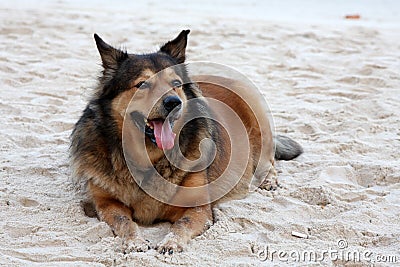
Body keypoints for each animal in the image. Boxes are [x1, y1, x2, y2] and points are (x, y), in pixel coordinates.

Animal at [69, 29, 304, 255]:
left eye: (175, 84)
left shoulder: (197, 207)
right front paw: (135, 242)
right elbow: (124, 221)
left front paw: (171, 243)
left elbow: (181, 225)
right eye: (142, 84)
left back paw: (268, 180)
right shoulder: (106, 203)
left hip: (260, 127)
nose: (174, 102)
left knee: (268, 161)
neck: (149, 159)